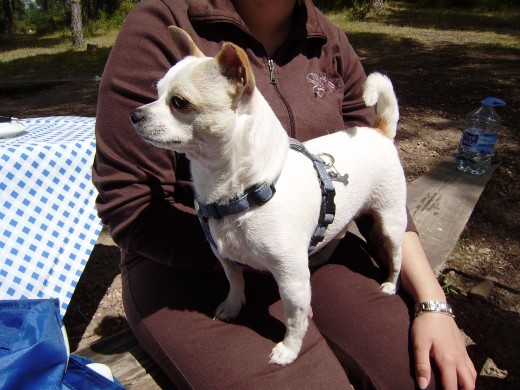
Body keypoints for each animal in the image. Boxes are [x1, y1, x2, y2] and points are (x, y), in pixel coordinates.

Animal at [130, 26, 406, 366]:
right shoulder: (225, 256)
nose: (135, 114)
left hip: (391, 221)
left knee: (396, 255)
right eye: (155, 92)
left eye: (179, 102)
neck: (242, 190)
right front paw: (233, 306)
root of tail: (379, 131)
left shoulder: (291, 281)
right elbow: (235, 282)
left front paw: (289, 349)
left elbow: (294, 319)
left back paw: (390, 283)